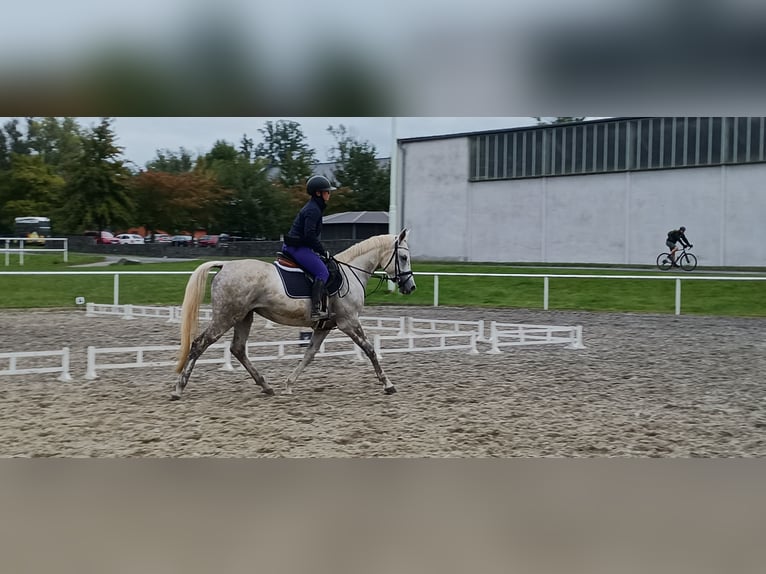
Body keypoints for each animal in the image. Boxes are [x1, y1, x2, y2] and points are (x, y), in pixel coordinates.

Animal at [173, 228, 416, 400]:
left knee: (238, 349)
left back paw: (266, 386)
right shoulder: (349, 322)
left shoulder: (325, 327)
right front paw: (388, 384)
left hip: (243, 316)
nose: (410, 287)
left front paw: (289, 384)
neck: (351, 272)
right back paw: (178, 388)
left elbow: (309, 354)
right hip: (226, 316)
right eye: (404, 258)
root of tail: (225, 265)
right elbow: (370, 349)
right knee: (200, 344)